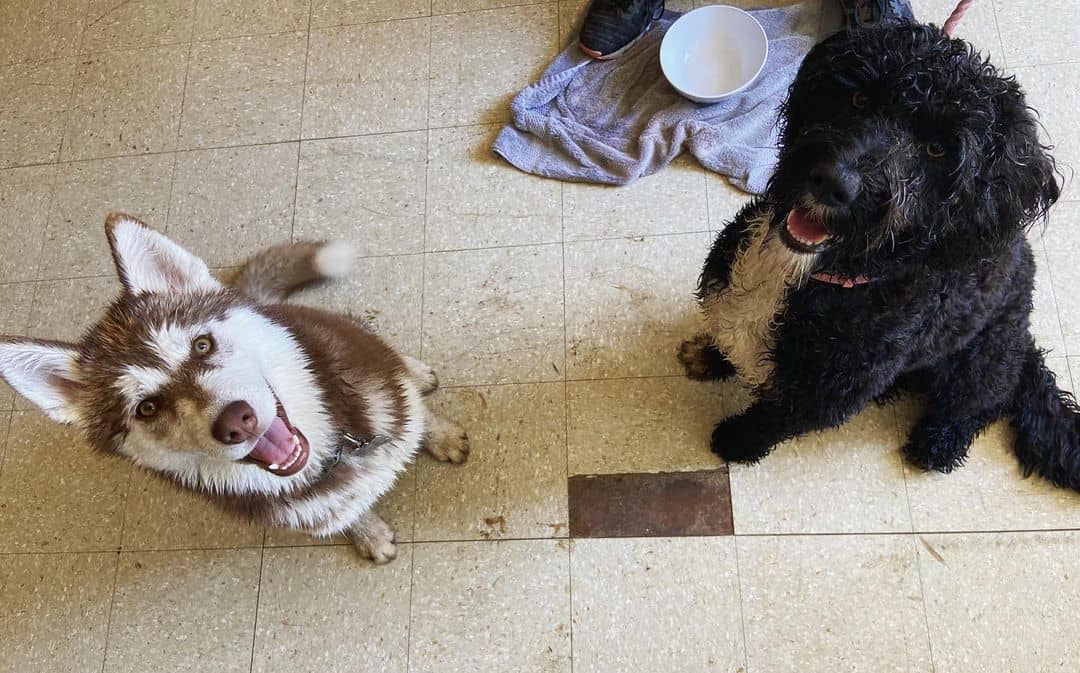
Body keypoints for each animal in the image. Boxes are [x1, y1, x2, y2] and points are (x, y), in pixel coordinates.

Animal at [673, 24, 1080, 490]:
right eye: (860, 99)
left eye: (937, 149)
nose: (833, 182)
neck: (806, 274)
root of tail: (1025, 340)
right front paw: (709, 356)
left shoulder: (819, 395)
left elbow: (770, 422)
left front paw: (735, 442)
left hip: (983, 359)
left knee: (984, 401)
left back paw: (939, 443)